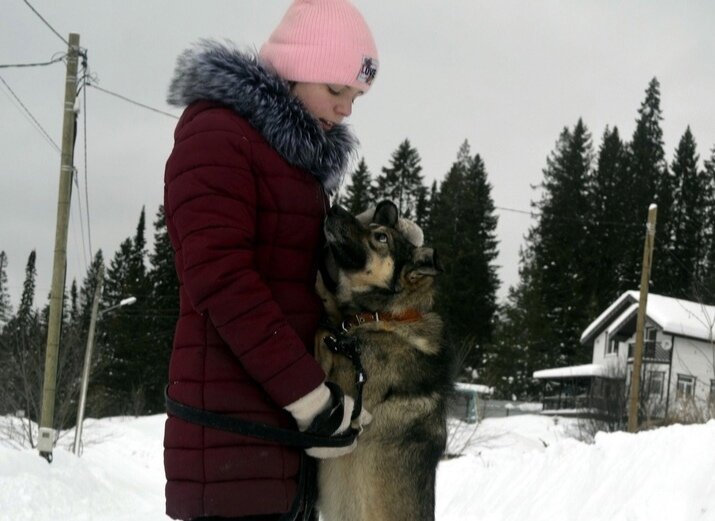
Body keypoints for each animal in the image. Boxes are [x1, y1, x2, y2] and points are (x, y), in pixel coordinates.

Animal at [314, 200, 458, 520]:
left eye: (380, 237)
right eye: (370, 225)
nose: (335, 208)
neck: (385, 317)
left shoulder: (344, 382)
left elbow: (321, 334)